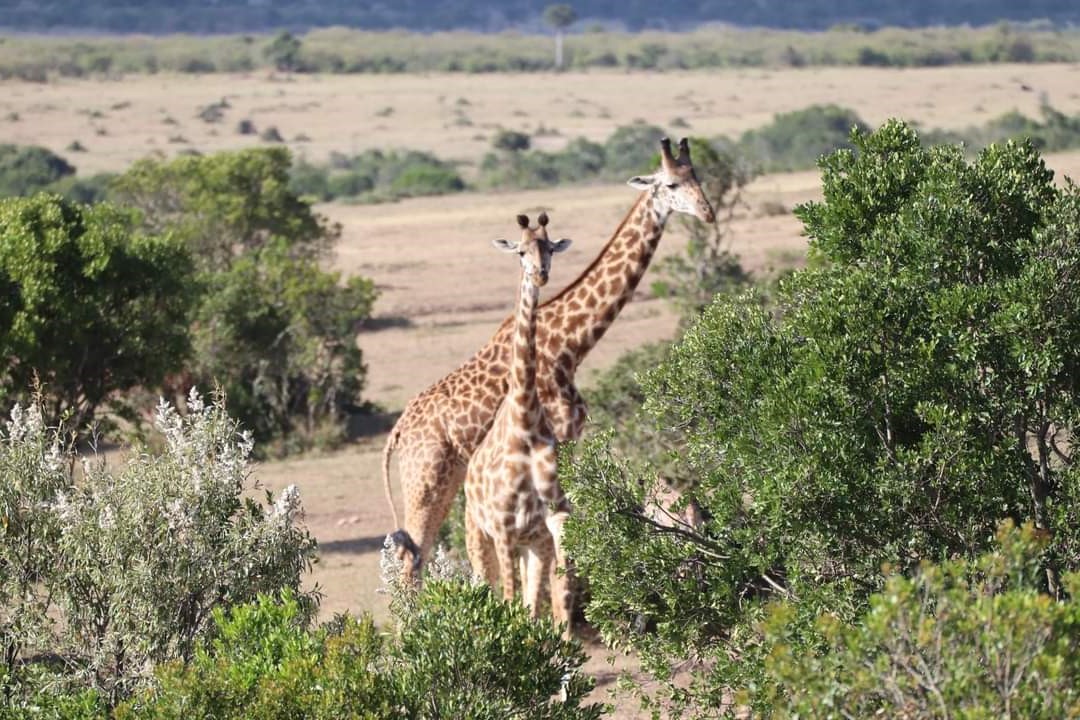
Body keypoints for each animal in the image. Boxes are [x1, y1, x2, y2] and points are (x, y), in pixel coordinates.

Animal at [384, 138, 712, 578]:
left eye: (698, 176)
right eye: (673, 184)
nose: (708, 212)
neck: (570, 344)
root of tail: (398, 433)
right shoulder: (560, 436)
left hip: (446, 479)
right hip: (425, 479)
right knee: (412, 557)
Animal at [466, 211, 578, 634]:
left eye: (550, 247)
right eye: (520, 251)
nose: (541, 274)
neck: (526, 423)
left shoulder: (552, 516)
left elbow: (555, 591)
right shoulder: (502, 529)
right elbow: (510, 599)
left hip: (533, 544)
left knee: (532, 602)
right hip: (477, 534)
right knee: (487, 588)